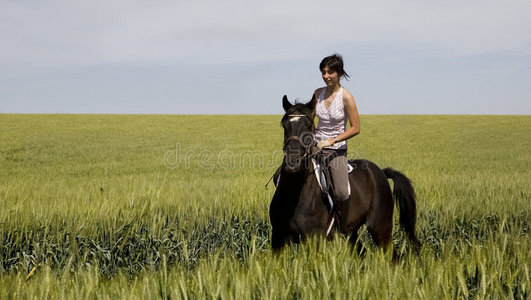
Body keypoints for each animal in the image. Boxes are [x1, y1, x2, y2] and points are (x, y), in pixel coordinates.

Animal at [272, 95, 422, 253]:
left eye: (309, 126)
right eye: (285, 126)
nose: (292, 162)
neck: (294, 193)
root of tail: (381, 172)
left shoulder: (314, 241)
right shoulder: (277, 238)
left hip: (380, 227)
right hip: (352, 232)